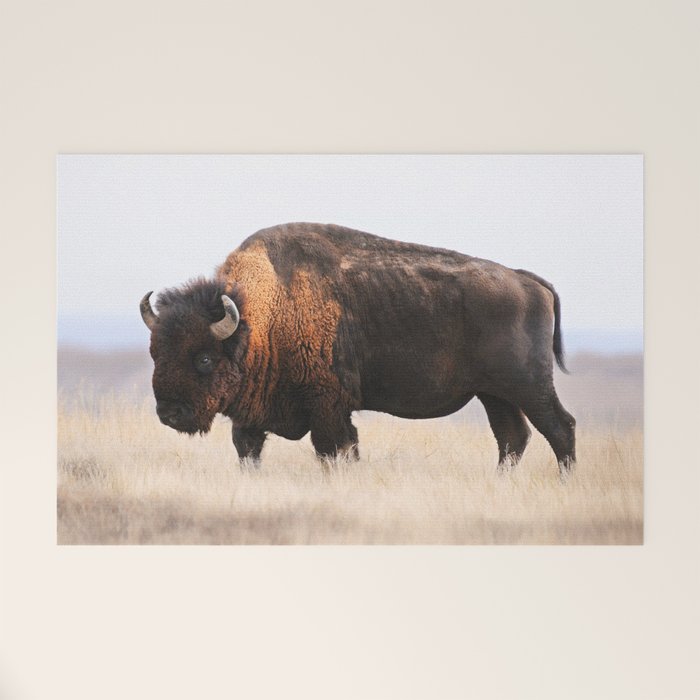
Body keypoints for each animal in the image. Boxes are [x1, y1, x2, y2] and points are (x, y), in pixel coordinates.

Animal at [140, 223, 576, 474]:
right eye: (155, 354)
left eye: (204, 358)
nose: (169, 413)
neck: (262, 314)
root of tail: (526, 280)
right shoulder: (252, 416)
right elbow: (248, 450)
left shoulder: (329, 406)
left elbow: (335, 450)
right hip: (494, 394)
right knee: (512, 437)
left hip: (528, 385)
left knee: (559, 427)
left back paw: (564, 480)